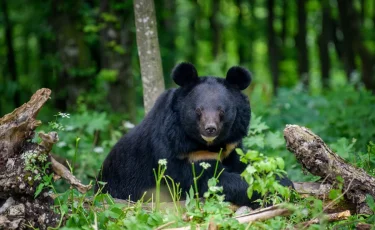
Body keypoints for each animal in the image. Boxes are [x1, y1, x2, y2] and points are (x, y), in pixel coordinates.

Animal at [99, 63, 294, 208]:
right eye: (198, 110)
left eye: (222, 111)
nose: (210, 129)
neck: (208, 144)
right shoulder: (175, 151)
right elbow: (205, 180)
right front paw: (265, 191)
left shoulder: (231, 146)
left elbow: (246, 164)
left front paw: (283, 182)